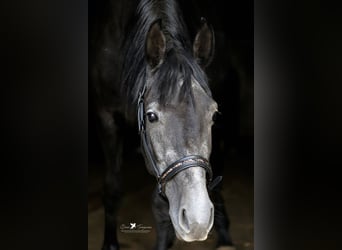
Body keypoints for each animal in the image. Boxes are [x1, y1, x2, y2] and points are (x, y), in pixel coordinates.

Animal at [89, 0, 235, 249]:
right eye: (151, 116)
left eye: (213, 115)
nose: (197, 221)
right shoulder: (105, 116)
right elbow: (112, 189)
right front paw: (110, 243)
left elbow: (162, 210)